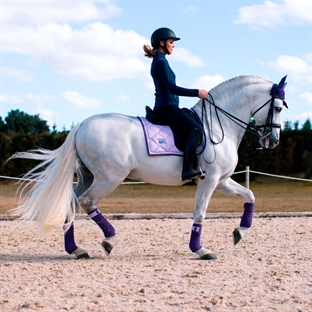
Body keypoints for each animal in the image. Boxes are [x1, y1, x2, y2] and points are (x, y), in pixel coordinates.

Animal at [8, 74, 288, 260]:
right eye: (277, 107)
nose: (273, 141)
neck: (219, 126)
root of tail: (82, 124)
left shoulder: (221, 180)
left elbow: (250, 196)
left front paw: (239, 232)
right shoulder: (209, 180)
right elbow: (199, 213)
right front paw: (200, 250)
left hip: (88, 176)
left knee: (73, 204)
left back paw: (77, 250)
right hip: (109, 178)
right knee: (88, 202)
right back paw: (109, 239)